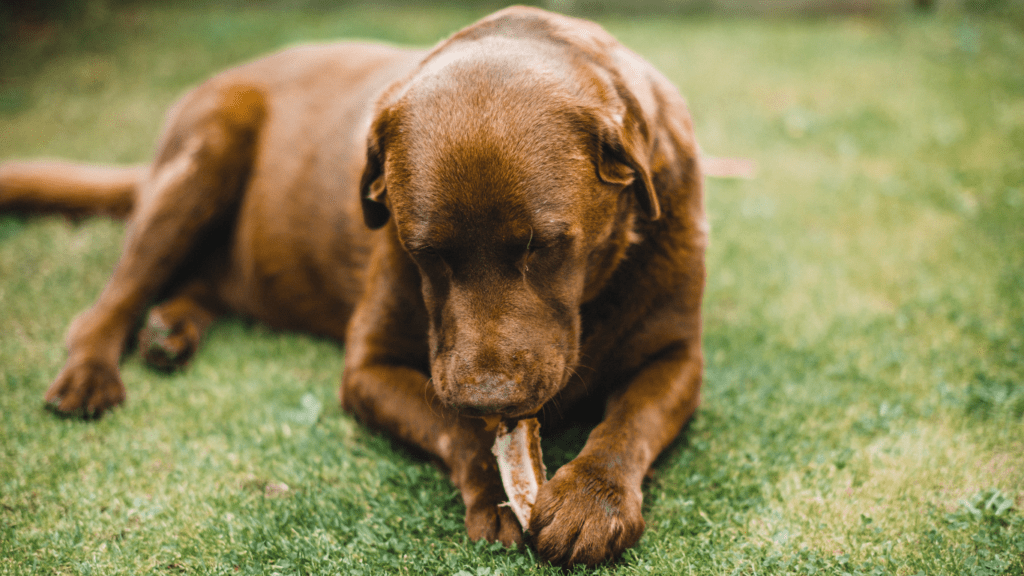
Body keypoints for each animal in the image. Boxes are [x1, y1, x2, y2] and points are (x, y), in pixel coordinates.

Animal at [0, 6, 704, 565]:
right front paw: (495, 492)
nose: (487, 398)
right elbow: (450, 427)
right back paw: (92, 373)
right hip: (205, 155)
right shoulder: (368, 366)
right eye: (425, 253)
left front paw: (591, 500)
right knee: (108, 303)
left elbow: (630, 421)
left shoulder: (679, 357)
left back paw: (169, 331)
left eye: (546, 247)